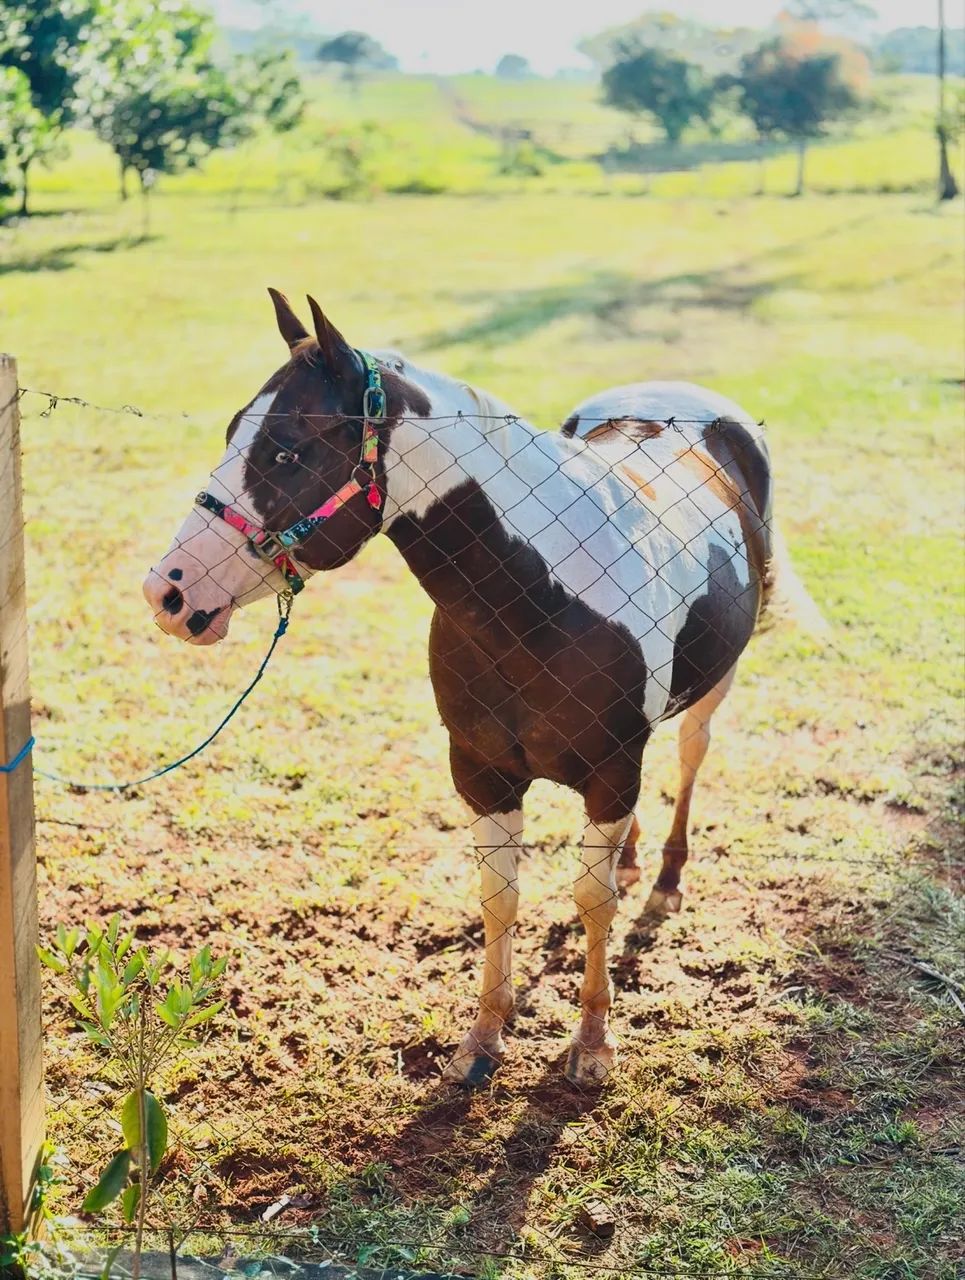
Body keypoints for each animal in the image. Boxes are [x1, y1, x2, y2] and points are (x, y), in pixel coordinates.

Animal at [144, 289, 810, 1087]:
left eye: (285, 449)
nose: (168, 593)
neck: (541, 604)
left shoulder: (612, 771)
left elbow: (591, 902)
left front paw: (592, 1043)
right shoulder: (483, 772)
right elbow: (500, 898)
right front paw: (483, 1039)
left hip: (711, 690)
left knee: (689, 756)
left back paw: (668, 875)